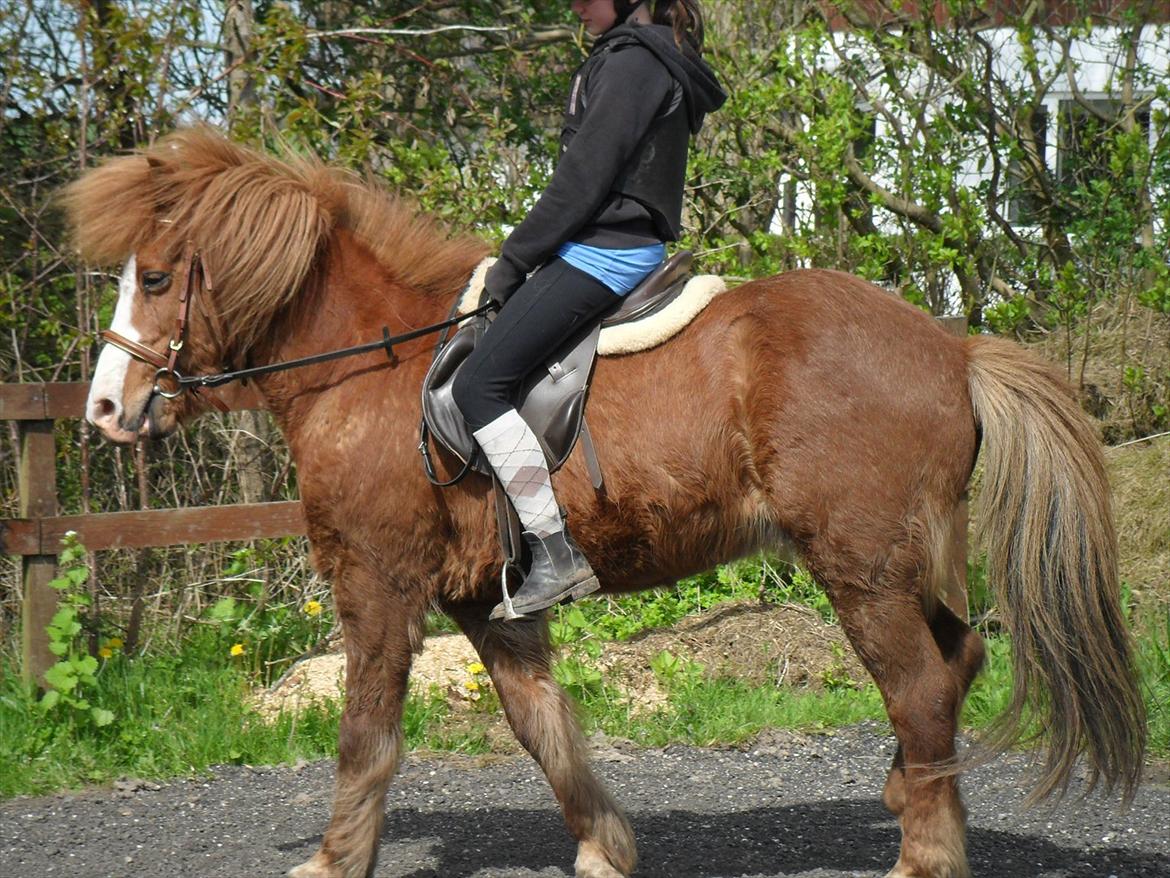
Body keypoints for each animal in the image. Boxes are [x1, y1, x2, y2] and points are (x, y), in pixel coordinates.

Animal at [65, 127, 1145, 878]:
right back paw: (912, 795)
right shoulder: (485, 601)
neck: (370, 367)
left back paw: (923, 853)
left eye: (154, 277)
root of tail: (954, 349)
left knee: (921, 684)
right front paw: (604, 846)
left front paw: (334, 858)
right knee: (958, 658)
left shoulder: (380, 581)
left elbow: (366, 737)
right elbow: (542, 725)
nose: (105, 410)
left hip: (860, 565)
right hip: (896, 559)